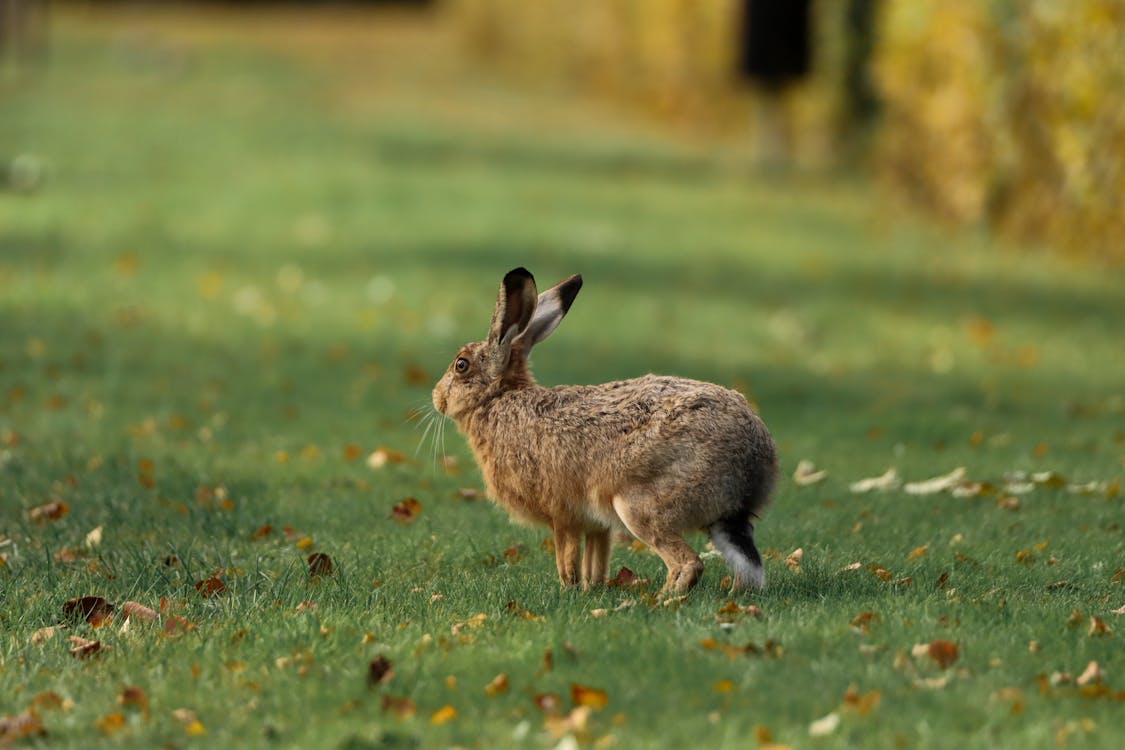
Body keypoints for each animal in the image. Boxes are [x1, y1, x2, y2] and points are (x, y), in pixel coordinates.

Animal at [432, 268, 778, 593]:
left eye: (461, 365)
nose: (437, 398)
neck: (499, 399)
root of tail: (753, 459)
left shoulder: (563, 515)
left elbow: (567, 558)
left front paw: (569, 589)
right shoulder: (596, 523)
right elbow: (595, 560)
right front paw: (592, 589)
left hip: (640, 507)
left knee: (688, 563)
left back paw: (662, 598)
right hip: (717, 520)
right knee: (747, 566)